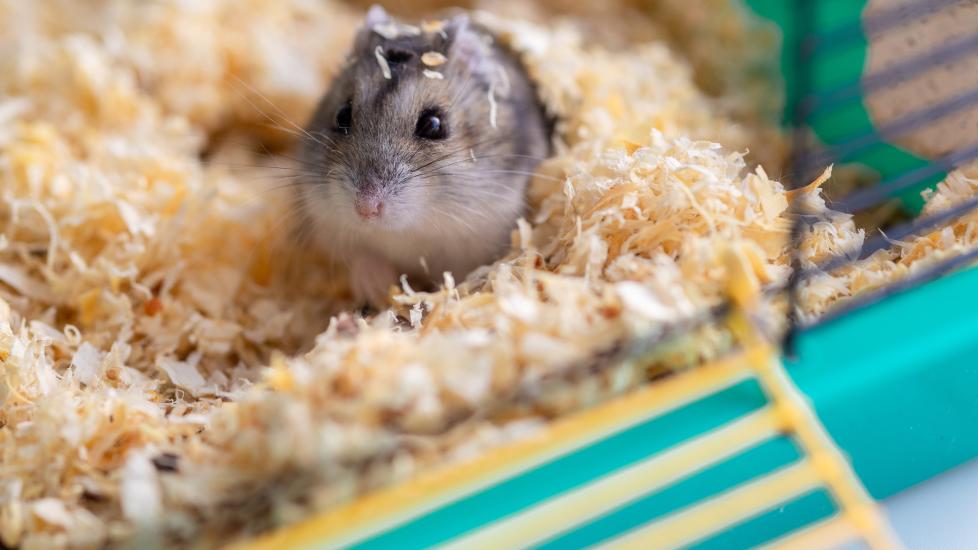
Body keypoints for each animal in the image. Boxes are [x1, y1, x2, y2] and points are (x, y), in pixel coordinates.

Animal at [296, 5, 551, 307]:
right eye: (341, 115)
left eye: (433, 124)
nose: (366, 209)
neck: (408, 229)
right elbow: (363, 257)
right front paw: (377, 289)